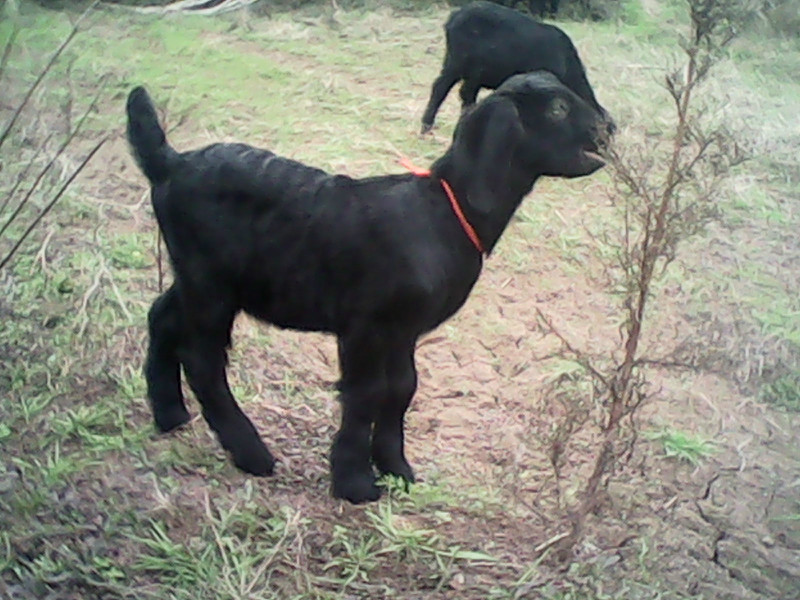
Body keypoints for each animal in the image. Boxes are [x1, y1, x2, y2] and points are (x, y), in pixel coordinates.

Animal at [125, 75, 604, 506]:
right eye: (558, 108)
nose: (609, 126)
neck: (446, 212)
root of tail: (171, 163)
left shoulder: (402, 329)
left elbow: (402, 387)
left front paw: (396, 468)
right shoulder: (365, 324)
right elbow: (366, 392)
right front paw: (355, 482)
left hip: (198, 275)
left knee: (162, 315)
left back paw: (169, 413)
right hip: (211, 281)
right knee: (202, 357)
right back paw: (251, 452)